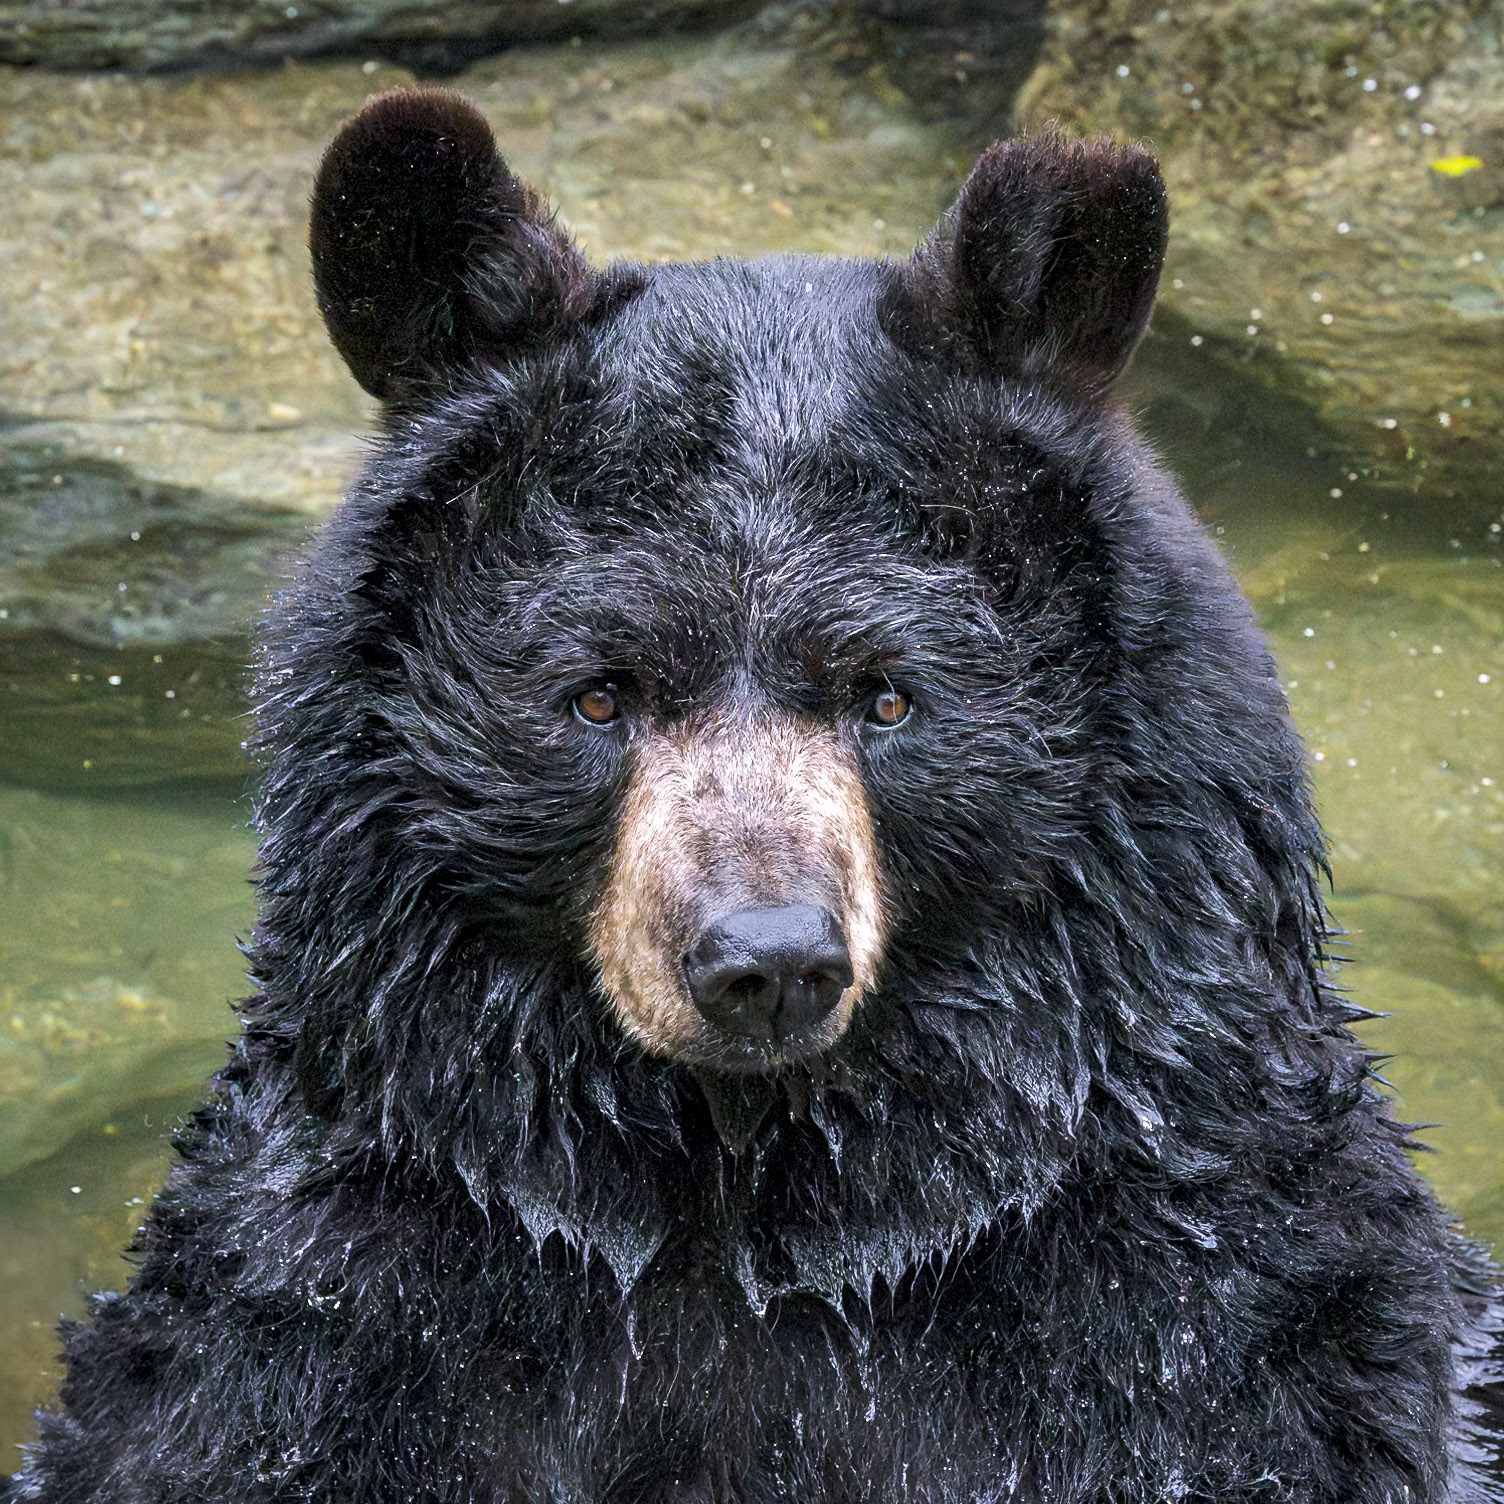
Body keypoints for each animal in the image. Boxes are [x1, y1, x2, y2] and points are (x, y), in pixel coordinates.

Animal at [6, 87, 1503, 1503]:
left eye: (889, 695)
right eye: (597, 693)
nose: (765, 959)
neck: (757, 1214)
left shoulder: (1193, 1324)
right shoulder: (348, 1298)